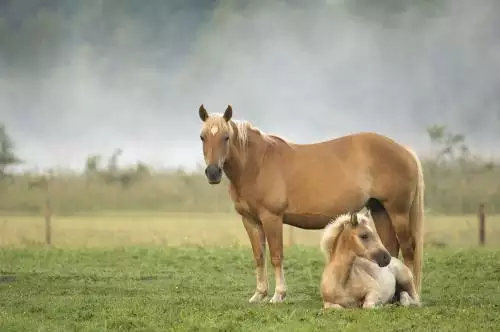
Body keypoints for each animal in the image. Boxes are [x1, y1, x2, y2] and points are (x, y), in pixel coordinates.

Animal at [197, 104, 424, 304]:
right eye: (203, 137)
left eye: (226, 137)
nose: (213, 172)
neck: (257, 164)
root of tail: (405, 151)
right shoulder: (250, 220)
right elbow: (259, 257)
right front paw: (259, 295)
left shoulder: (272, 218)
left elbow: (276, 256)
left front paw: (278, 295)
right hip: (380, 210)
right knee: (391, 248)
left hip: (398, 212)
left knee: (408, 249)